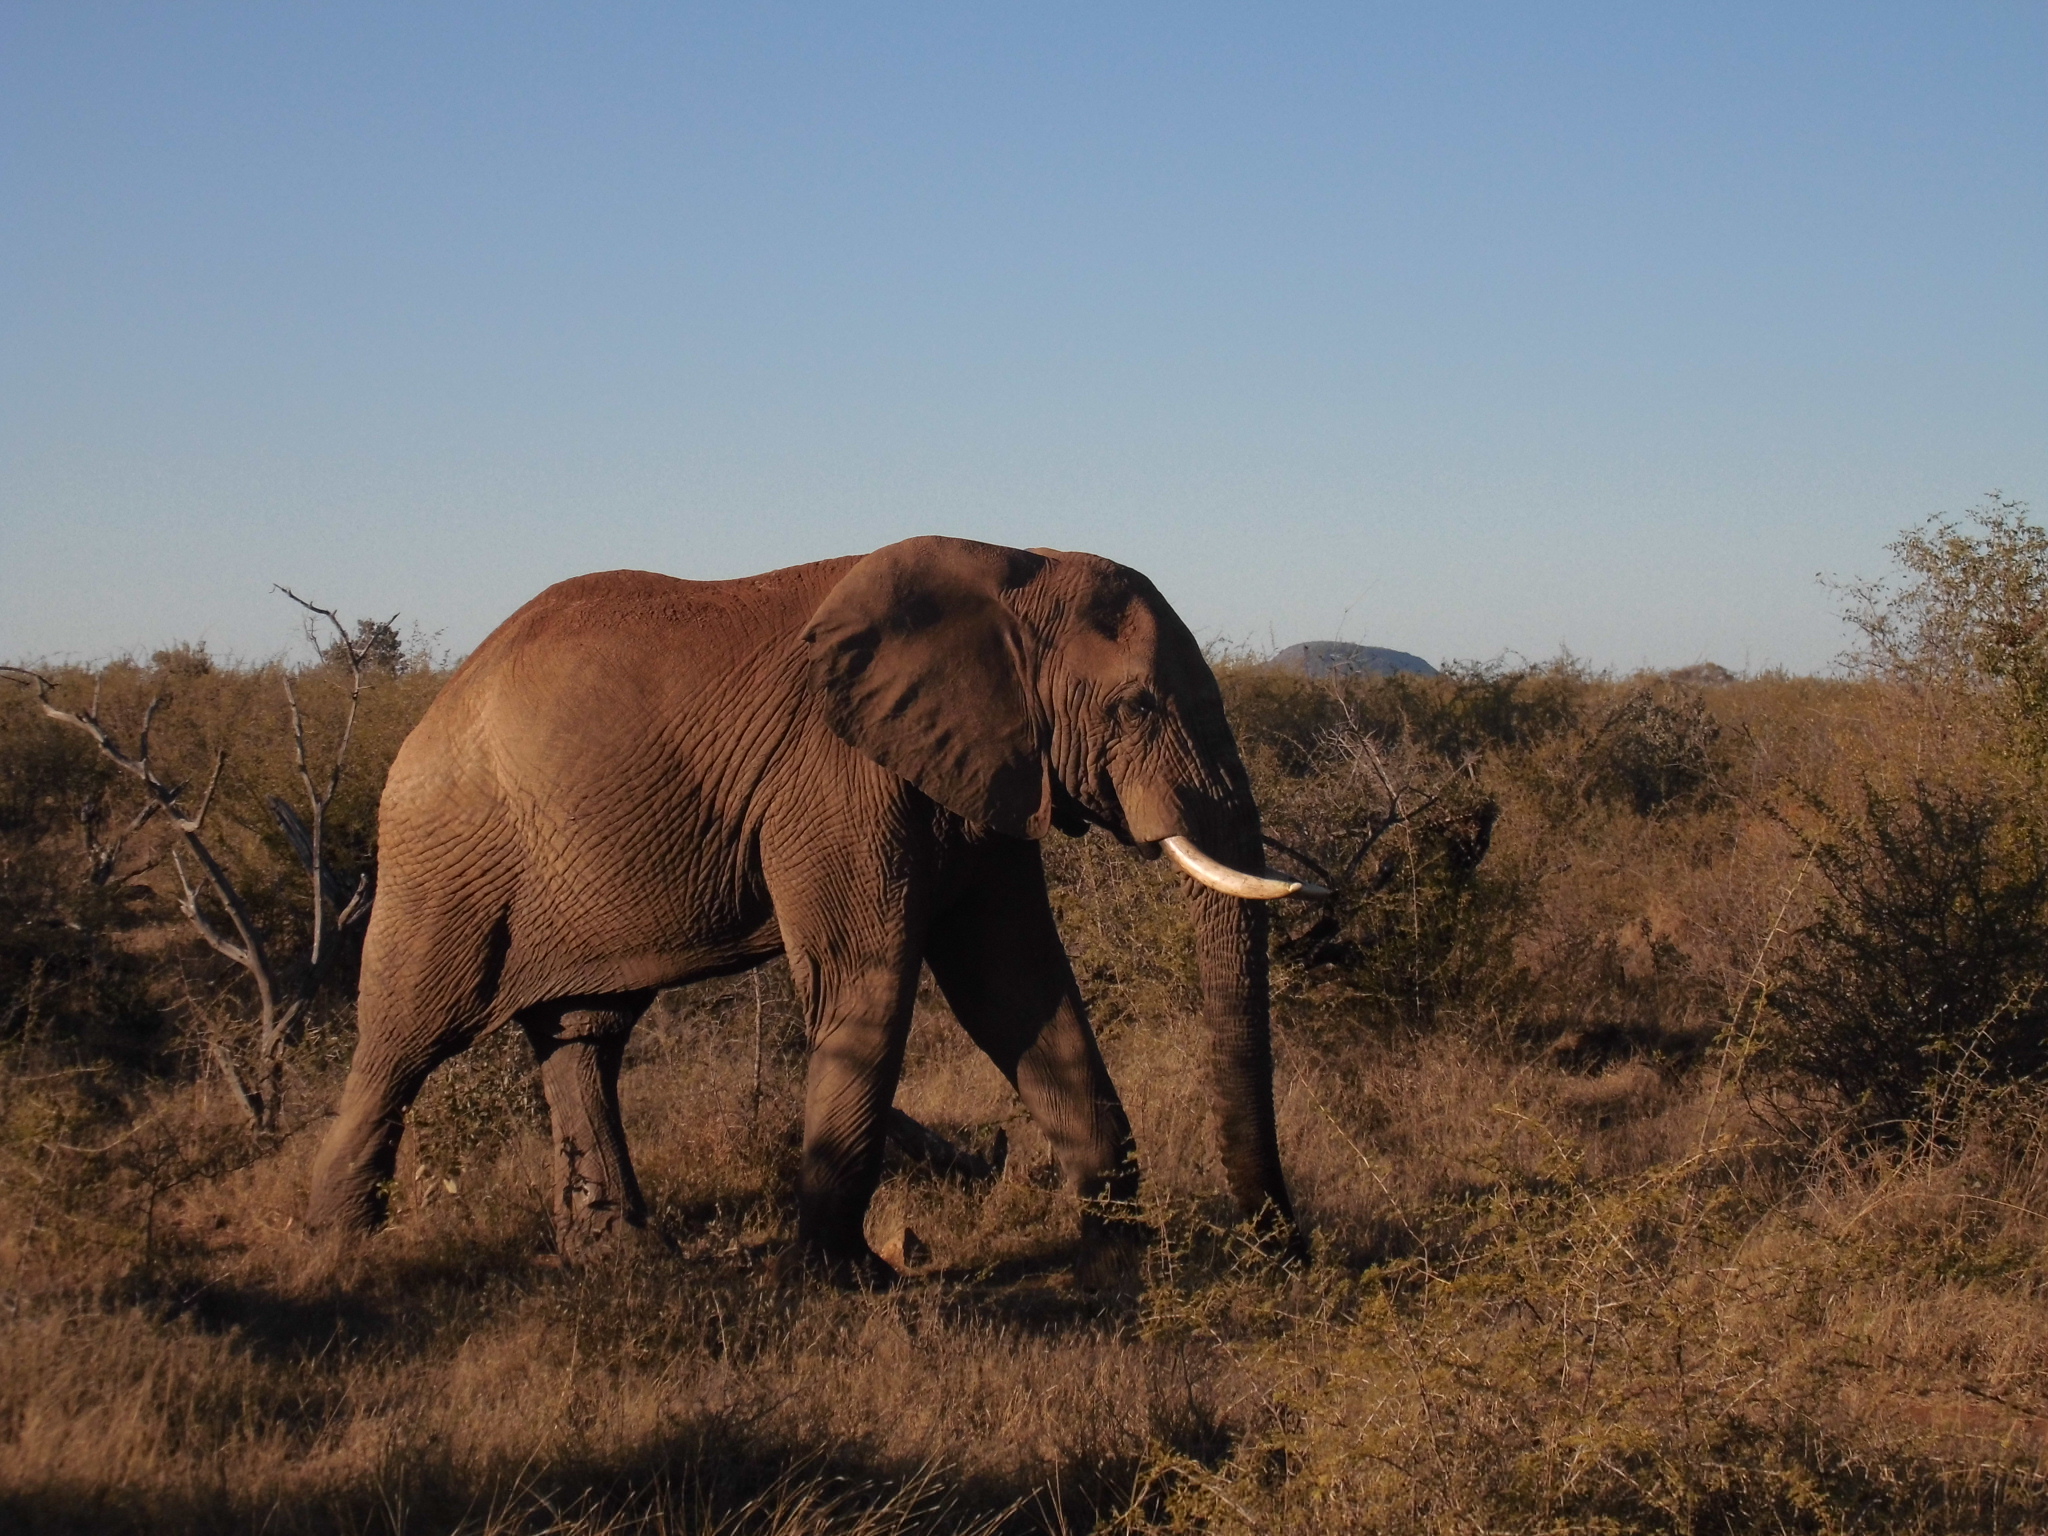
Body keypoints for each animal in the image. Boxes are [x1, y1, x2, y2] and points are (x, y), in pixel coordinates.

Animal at [305, 535, 1324, 1283]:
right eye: (1137, 705)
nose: (1285, 1251)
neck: (1011, 567)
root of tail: (433, 710)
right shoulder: (836, 778)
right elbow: (867, 983)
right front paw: (853, 1280)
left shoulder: (981, 774)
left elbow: (1015, 986)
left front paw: (1123, 1251)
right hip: (449, 856)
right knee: (406, 1036)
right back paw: (340, 1252)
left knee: (585, 1036)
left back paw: (622, 1255)